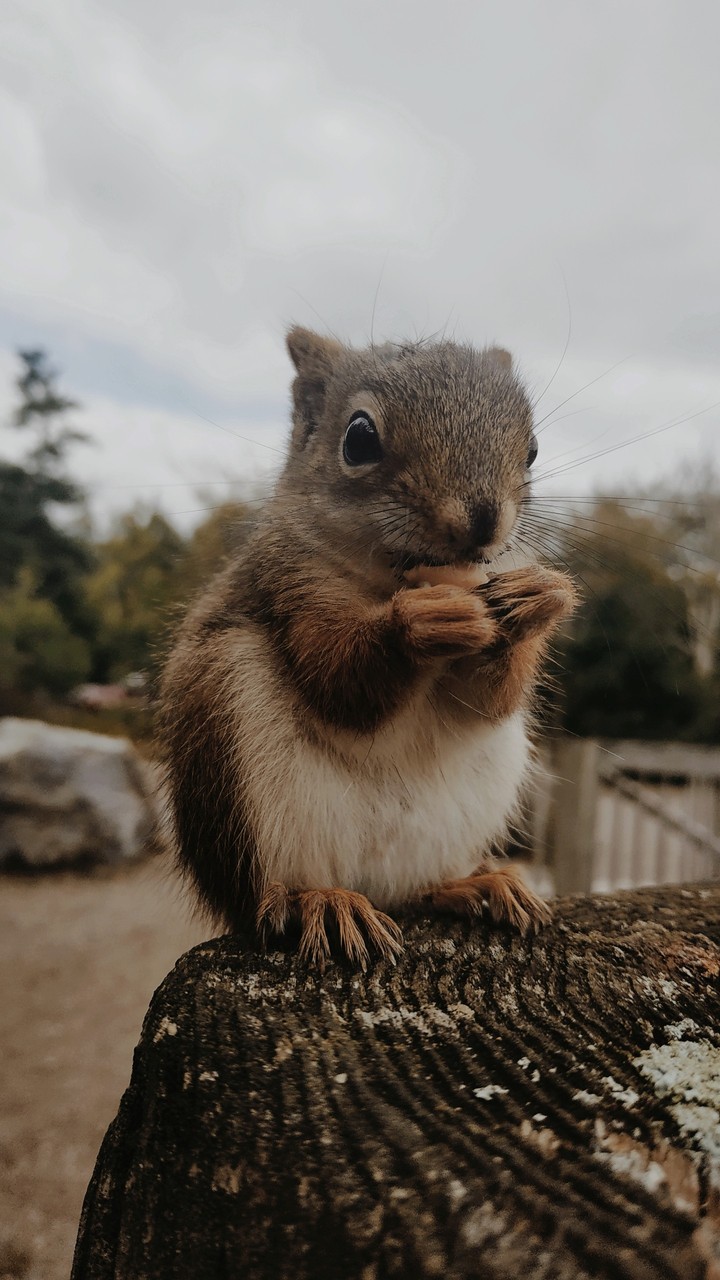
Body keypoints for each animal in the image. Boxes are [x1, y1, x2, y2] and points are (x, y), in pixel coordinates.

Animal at [159, 327, 578, 966]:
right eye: (359, 438)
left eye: (531, 450)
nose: (483, 521)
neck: (389, 579)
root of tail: (374, 885)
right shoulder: (291, 585)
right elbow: (340, 685)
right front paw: (418, 621)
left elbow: (489, 703)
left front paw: (541, 597)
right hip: (232, 743)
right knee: (269, 900)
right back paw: (319, 901)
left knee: (420, 886)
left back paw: (474, 883)